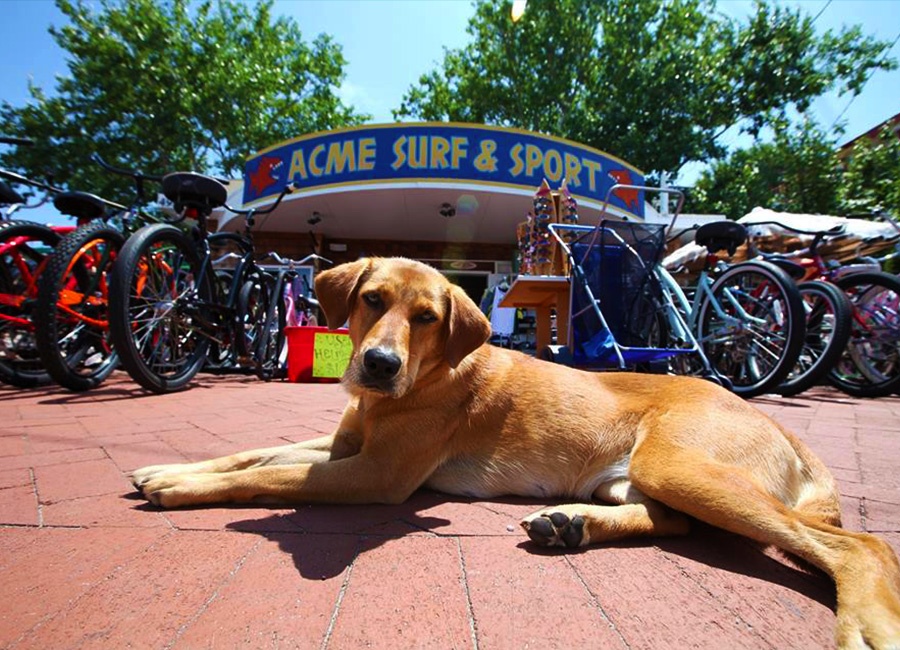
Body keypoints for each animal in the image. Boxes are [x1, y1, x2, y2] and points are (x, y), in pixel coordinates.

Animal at [132, 256, 900, 649]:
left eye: (427, 318)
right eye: (372, 299)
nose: (378, 364)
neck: (416, 383)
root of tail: (780, 424)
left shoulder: (377, 474)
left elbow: (278, 475)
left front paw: (181, 489)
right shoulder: (345, 443)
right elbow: (257, 454)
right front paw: (168, 468)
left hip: (679, 464)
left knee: (859, 544)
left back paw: (864, 622)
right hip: (639, 478)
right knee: (676, 523)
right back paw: (570, 525)